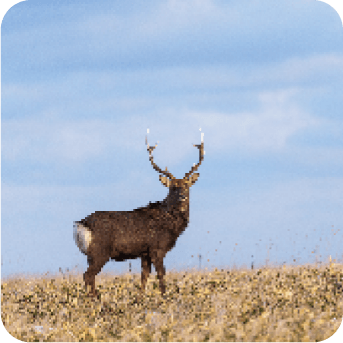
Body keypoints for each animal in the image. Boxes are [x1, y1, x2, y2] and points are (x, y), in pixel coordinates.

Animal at [73, 130, 204, 296]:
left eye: (187, 185)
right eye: (173, 187)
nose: (182, 196)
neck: (170, 223)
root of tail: (81, 224)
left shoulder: (144, 253)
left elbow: (144, 276)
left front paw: (140, 297)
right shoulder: (157, 248)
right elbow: (161, 275)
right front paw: (165, 296)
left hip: (92, 255)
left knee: (90, 276)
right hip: (99, 251)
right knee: (88, 275)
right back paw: (93, 299)